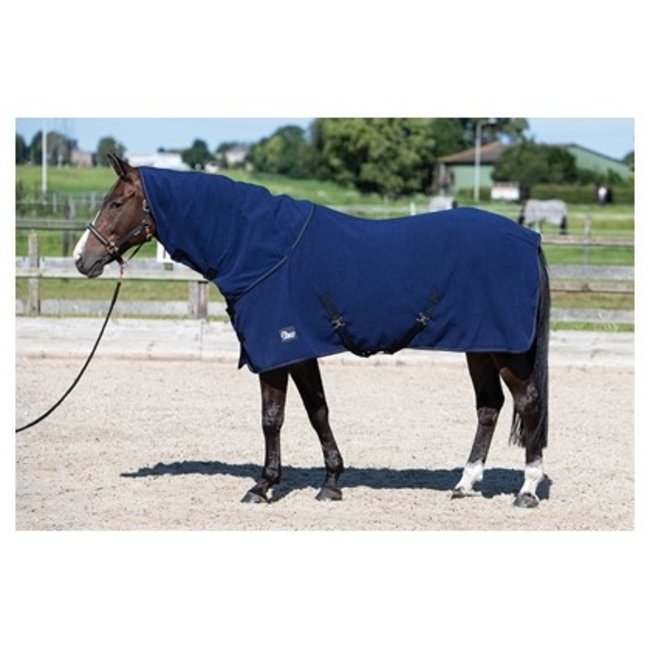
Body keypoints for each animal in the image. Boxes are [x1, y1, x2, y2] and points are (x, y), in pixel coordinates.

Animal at [74, 153, 550, 509]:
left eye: (116, 203)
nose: (82, 258)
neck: (260, 248)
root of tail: (528, 238)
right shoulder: (298, 351)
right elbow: (317, 411)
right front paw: (331, 482)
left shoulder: (277, 349)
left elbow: (273, 418)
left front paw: (263, 486)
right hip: (481, 346)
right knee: (489, 407)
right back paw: (465, 484)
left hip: (506, 351)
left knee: (527, 403)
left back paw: (526, 489)